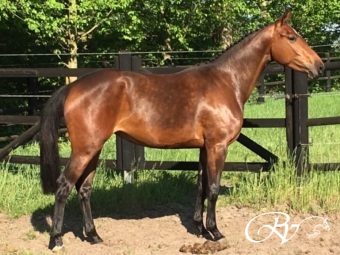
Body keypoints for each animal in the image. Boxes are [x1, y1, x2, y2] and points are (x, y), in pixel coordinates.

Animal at [39, 10, 324, 251]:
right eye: (292, 37)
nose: (319, 66)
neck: (226, 81)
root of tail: (74, 87)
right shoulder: (218, 146)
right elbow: (213, 188)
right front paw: (215, 231)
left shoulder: (204, 148)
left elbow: (201, 185)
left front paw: (199, 227)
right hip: (85, 150)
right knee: (64, 186)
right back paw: (57, 241)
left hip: (94, 150)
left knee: (84, 189)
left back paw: (94, 235)